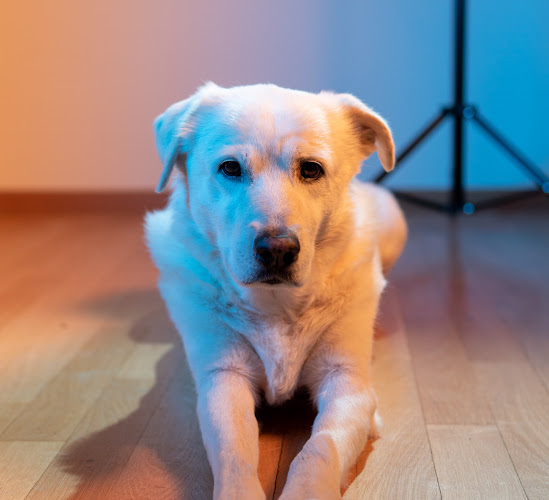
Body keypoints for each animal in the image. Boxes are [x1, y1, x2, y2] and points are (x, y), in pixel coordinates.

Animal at [146, 84, 406, 498]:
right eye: (230, 168)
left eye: (311, 169)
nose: (278, 250)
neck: (277, 305)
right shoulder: (223, 376)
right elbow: (234, 452)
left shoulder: (347, 380)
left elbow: (320, 450)